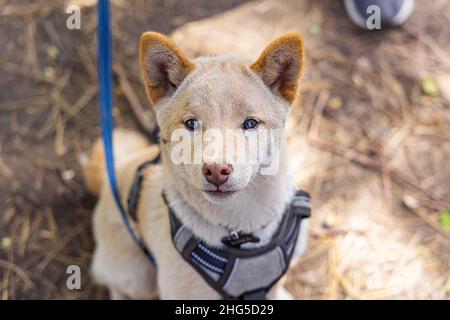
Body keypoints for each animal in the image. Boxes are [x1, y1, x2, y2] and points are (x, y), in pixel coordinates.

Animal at [81, 31, 306, 298]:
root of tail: (111, 177)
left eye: (250, 123)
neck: (241, 231)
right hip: (135, 276)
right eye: (191, 123)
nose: (216, 171)